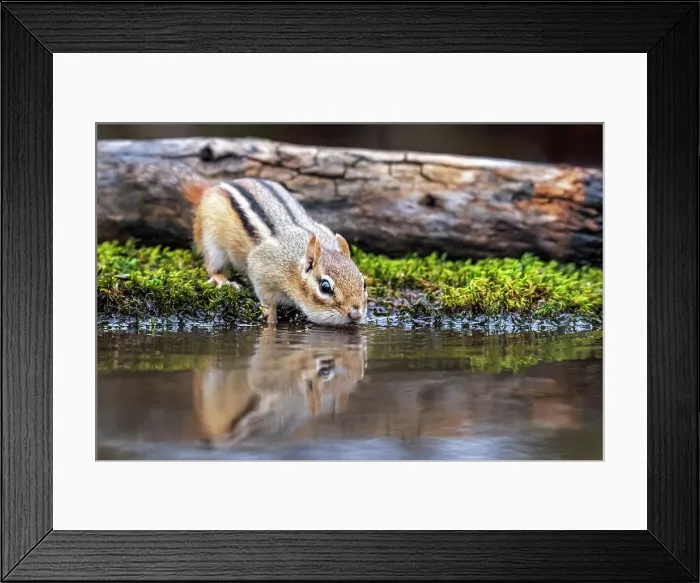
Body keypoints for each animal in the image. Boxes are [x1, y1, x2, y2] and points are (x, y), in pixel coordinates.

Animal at [181, 176, 368, 326]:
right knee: (211, 265)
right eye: (325, 287)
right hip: (211, 240)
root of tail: (213, 187)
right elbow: (267, 302)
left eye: (364, 283)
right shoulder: (261, 269)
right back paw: (222, 280)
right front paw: (271, 318)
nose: (355, 314)